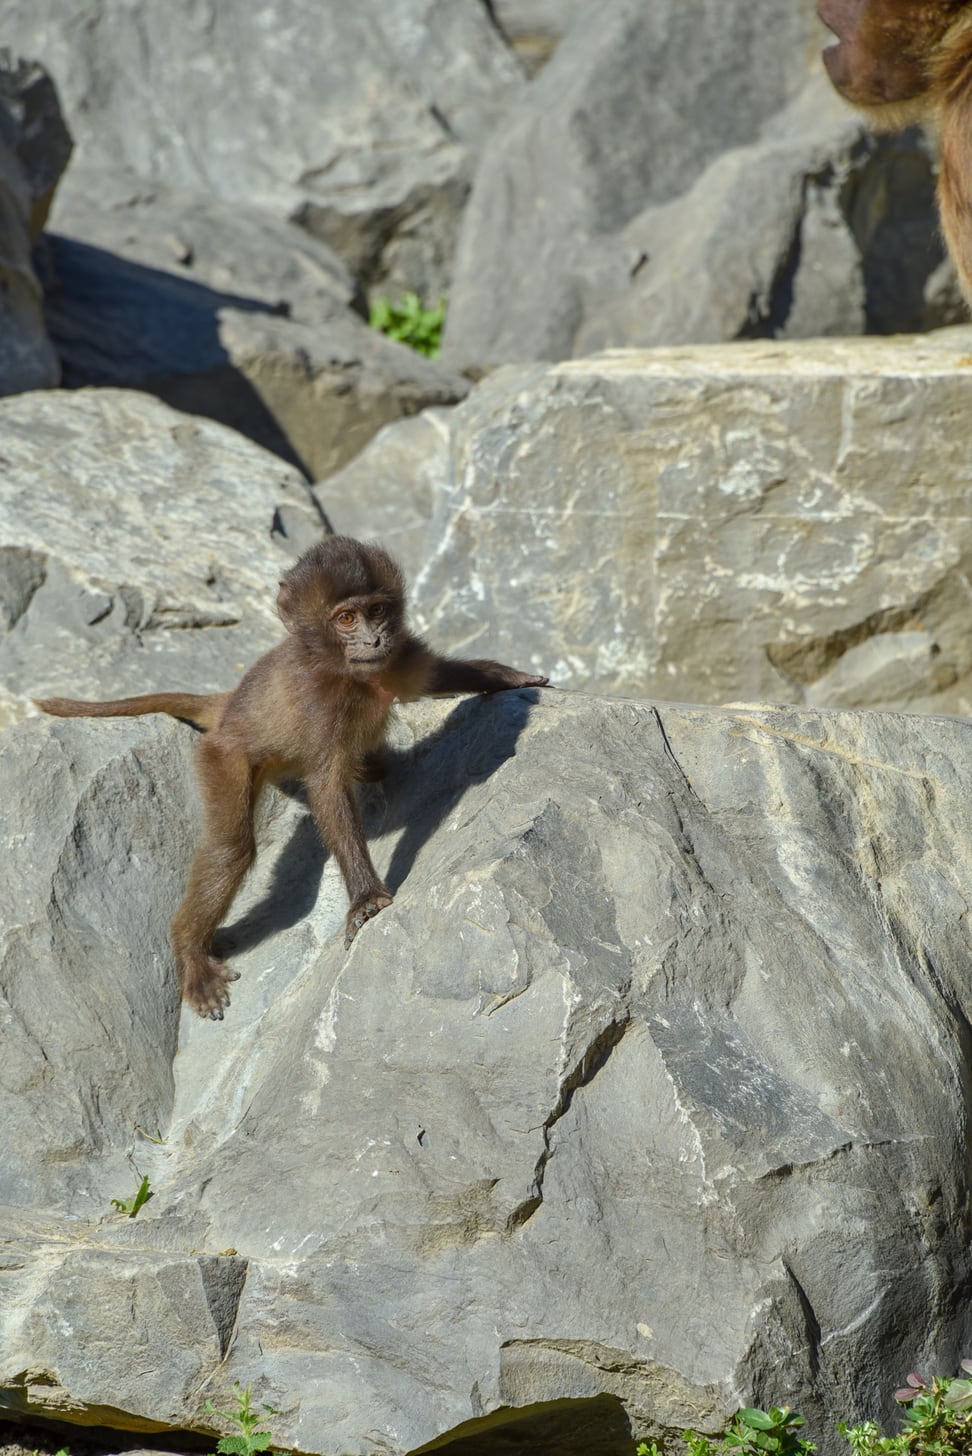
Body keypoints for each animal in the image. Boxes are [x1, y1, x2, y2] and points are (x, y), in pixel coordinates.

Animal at [36, 535, 547, 1025]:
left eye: (377, 610)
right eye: (346, 618)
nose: (373, 640)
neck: (349, 673)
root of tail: (227, 707)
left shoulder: (401, 659)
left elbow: (438, 675)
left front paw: (509, 677)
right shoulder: (319, 701)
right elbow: (327, 786)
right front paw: (365, 897)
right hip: (224, 755)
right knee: (233, 848)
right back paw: (190, 952)